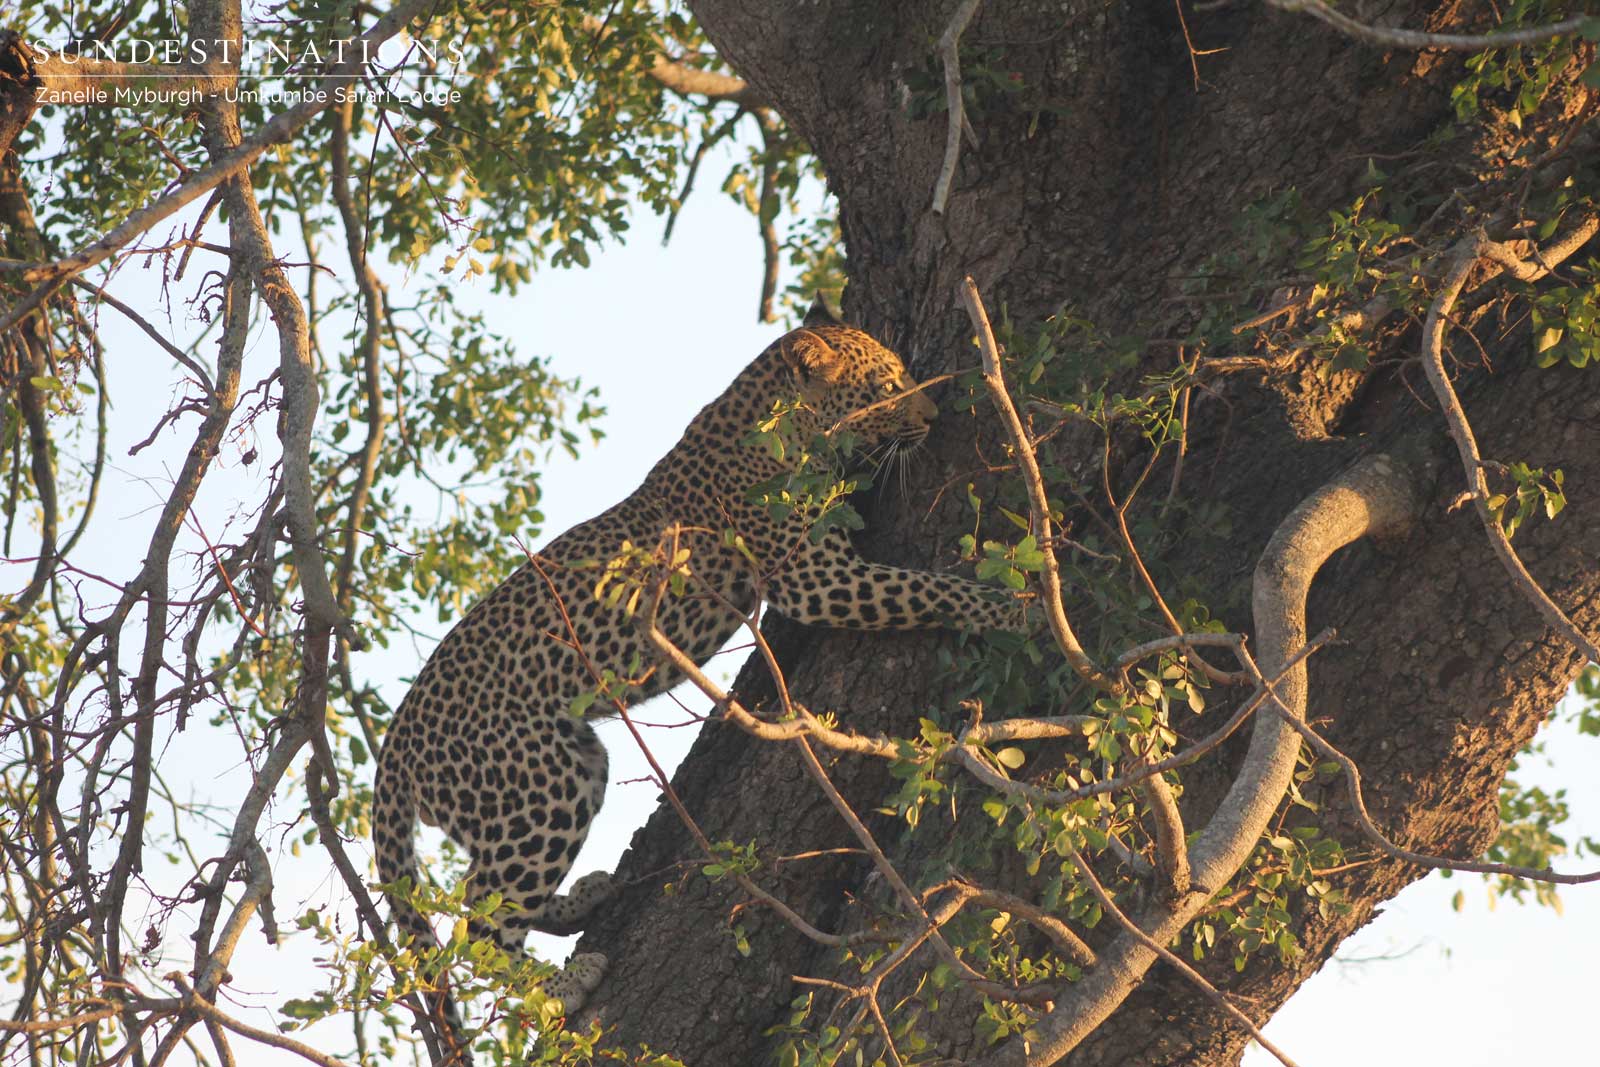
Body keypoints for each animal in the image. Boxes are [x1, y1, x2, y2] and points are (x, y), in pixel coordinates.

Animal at [372, 298, 1030, 1018]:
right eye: (887, 387)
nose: (933, 418)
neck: (770, 418)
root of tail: (395, 743)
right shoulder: (815, 578)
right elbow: (924, 588)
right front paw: (1011, 606)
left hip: (577, 762)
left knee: (490, 888)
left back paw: (582, 900)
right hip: (537, 785)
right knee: (478, 920)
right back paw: (561, 987)